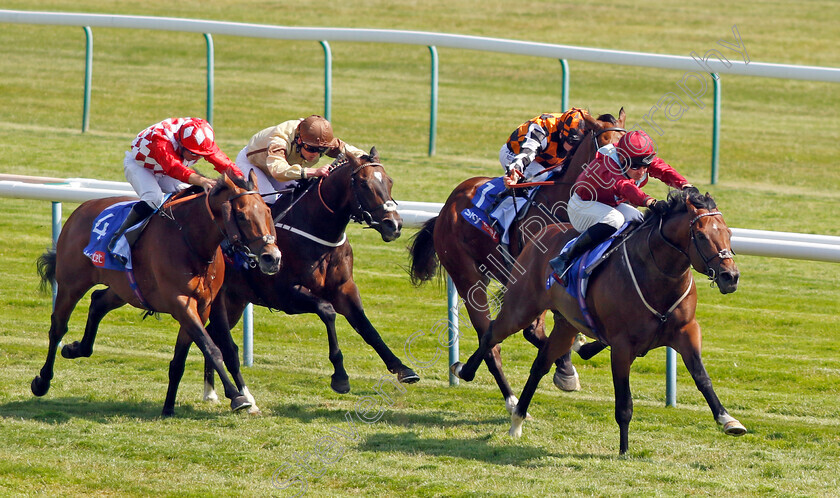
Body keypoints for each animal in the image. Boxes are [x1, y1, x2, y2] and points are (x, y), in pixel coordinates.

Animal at [32, 171, 282, 416]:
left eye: (268, 211)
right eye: (241, 216)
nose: (272, 258)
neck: (193, 241)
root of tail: (82, 209)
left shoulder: (204, 305)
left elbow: (185, 358)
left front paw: (168, 407)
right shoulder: (181, 303)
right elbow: (212, 348)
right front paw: (238, 397)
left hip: (124, 289)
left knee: (98, 302)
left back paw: (75, 349)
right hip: (71, 283)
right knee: (58, 327)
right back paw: (42, 381)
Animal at [203, 146, 420, 410]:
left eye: (389, 181)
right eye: (364, 184)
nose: (394, 225)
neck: (316, 230)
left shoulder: (344, 288)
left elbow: (366, 326)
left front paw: (402, 368)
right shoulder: (285, 295)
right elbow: (327, 311)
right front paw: (340, 377)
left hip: (234, 301)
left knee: (211, 333)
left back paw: (211, 392)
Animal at [406, 108, 624, 412]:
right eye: (604, 143)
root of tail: (447, 208)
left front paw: (574, 354)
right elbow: (535, 332)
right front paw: (566, 369)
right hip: (468, 279)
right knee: (491, 339)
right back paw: (509, 396)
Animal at [452, 189, 748, 454]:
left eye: (729, 233)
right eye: (701, 235)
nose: (730, 276)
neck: (656, 274)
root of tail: (541, 233)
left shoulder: (686, 331)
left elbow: (702, 377)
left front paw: (728, 420)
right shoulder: (622, 346)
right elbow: (624, 403)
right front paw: (624, 450)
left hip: (566, 325)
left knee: (540, 364)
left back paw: (517, 421)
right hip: (521, 306)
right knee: (492, 334)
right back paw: (464, 371)